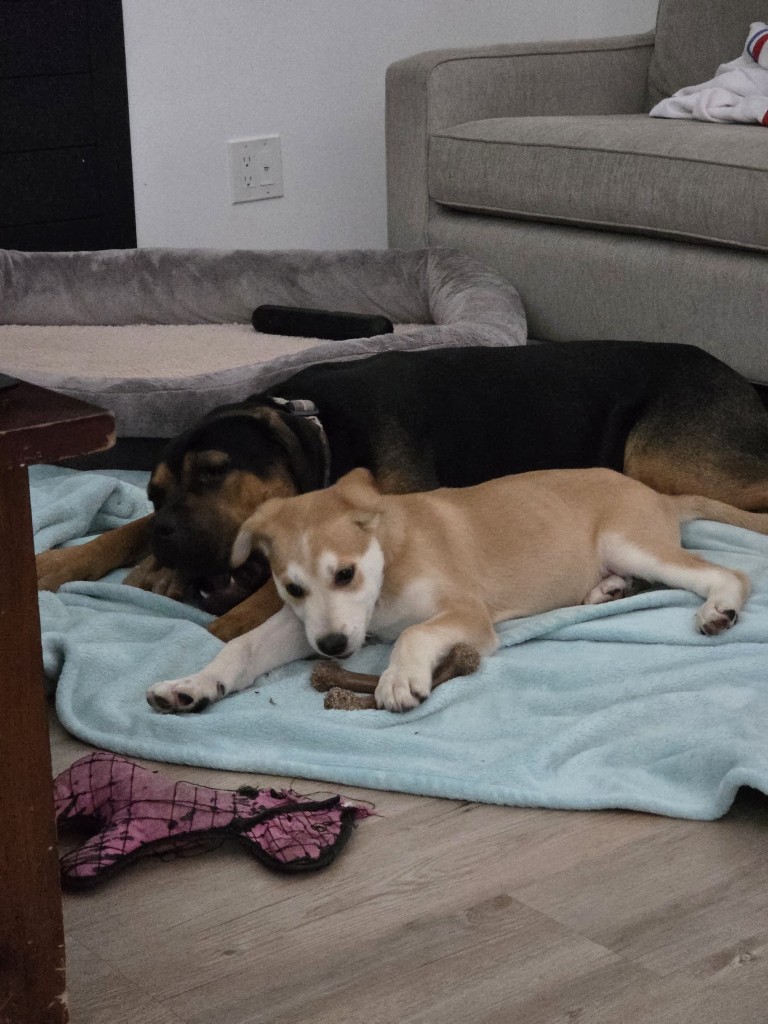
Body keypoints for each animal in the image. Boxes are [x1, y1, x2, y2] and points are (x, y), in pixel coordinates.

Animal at [36, 340, 768, 643]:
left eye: (215, 471)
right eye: (154, 493)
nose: (166, 536)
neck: (324, 431)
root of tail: (742, 380)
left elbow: (267, 593)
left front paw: (231, 623)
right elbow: (120, 530)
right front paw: (63, 563)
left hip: (659, 454)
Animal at [146, 465, 768, 713]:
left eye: (344, 574)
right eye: (291, 587)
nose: (332, 652)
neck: (387, 567)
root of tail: (659, 495)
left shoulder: (467, 615)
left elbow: (415, 634)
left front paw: (398, 678)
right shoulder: (314, 626)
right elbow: (241, 647)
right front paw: (192, 685)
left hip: (630, 541)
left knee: (727, 574)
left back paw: (719, 608)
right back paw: (604, 591)